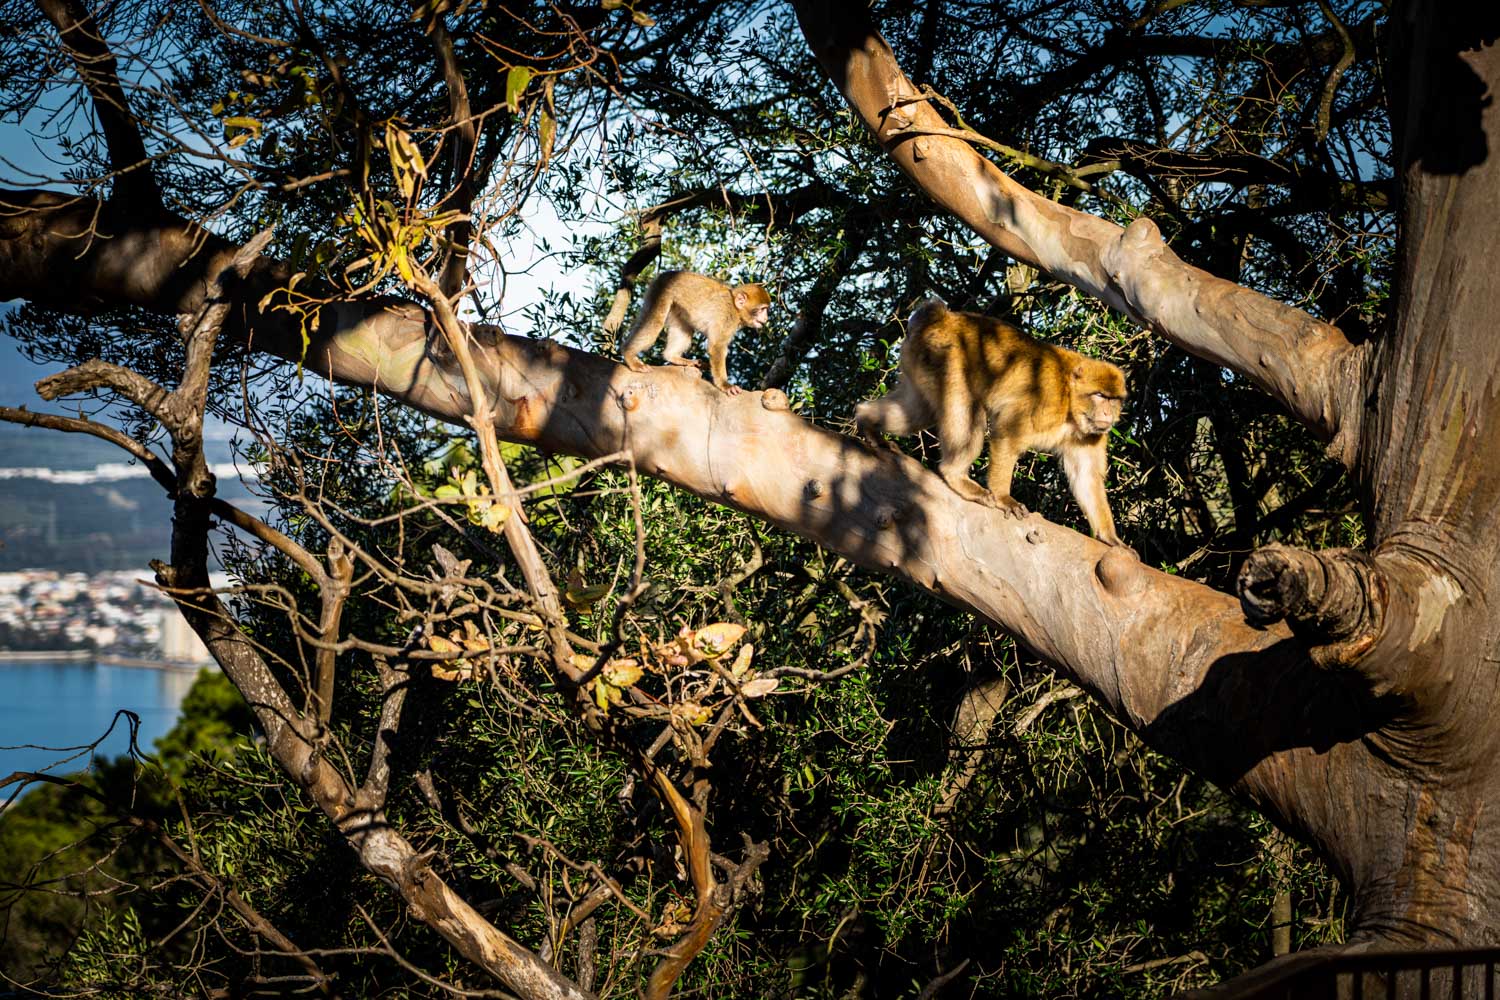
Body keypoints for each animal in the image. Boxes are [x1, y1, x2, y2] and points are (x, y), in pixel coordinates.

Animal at [614, 270, 771, 395]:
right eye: (762, 309)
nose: (766, 318)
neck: (735, 308)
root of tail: (667, 274)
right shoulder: (727, 319)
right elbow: (716, 347)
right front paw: (725, 385)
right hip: (661, 291)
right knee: (655, 322)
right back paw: (629, 354)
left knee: (684, 328)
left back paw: (673, 357)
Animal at [854, 299, 1130, 547]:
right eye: (1100, 396)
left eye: (1114, 399)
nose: (1108, 414)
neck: (1070, 402)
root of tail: (943, 318)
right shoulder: (1046, 400)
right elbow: (1007, 434)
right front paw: (1003, 497)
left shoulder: (1091, 434)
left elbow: (1086, 476)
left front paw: (1110, 537)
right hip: (946, 358)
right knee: (968, 414)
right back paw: (955, 476)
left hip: (921, 363)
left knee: (918, 411)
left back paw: (867, 421)